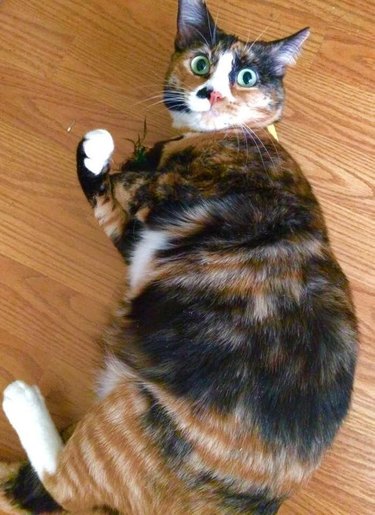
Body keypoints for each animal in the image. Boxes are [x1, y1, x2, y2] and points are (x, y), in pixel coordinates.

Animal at [0, 1, 358, 515]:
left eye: (247, 76)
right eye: (201, 64)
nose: (210, 93)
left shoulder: (172, 194)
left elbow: (128, 181)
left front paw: (108, 149)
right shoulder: (136, 238)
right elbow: (106, 200)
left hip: (134, 418)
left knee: (65, 487)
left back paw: (20, 400)